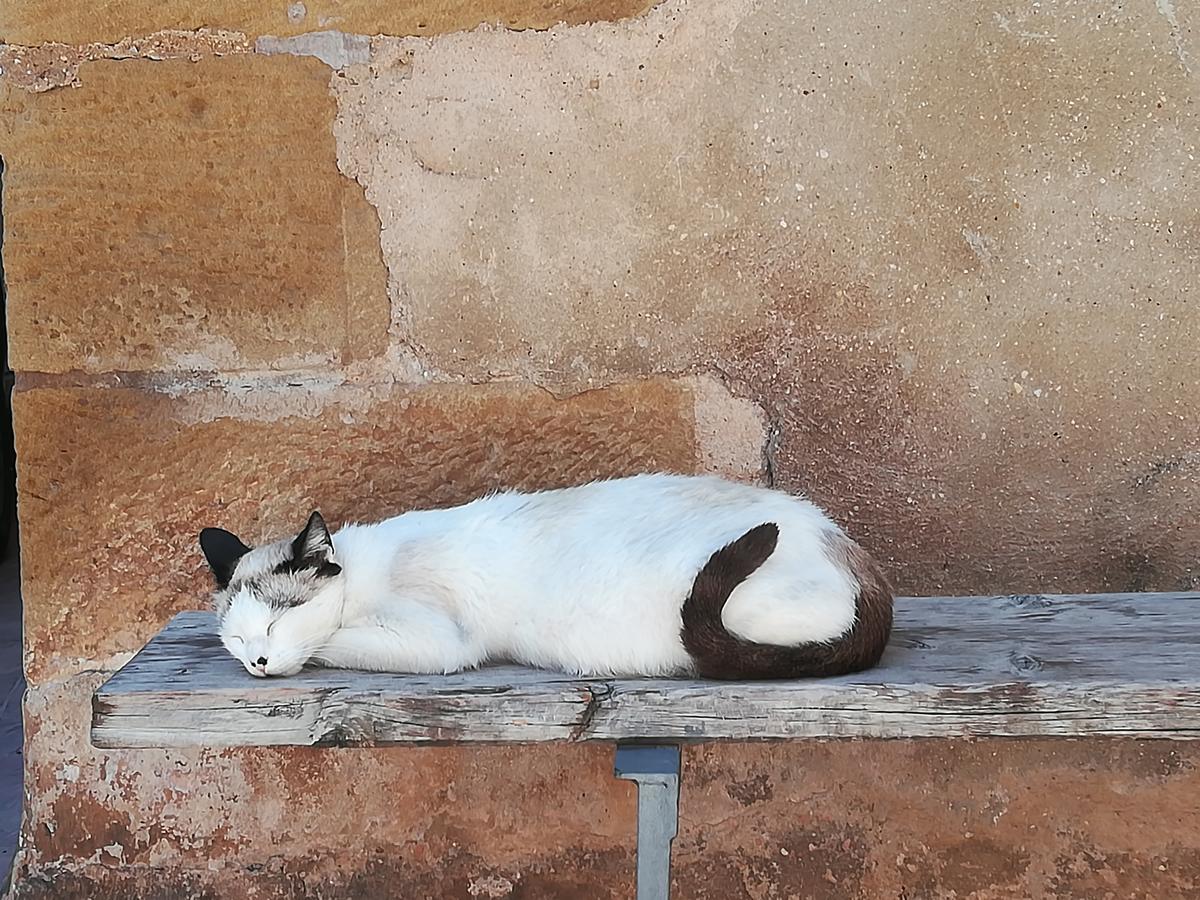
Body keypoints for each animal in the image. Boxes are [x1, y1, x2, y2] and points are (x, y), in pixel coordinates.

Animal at [199, 475, 892, 681]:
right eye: (235, 640)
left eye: (274, 623)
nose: (257, 662)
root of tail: (845, 543)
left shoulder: (440, 642)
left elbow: (328, 645)